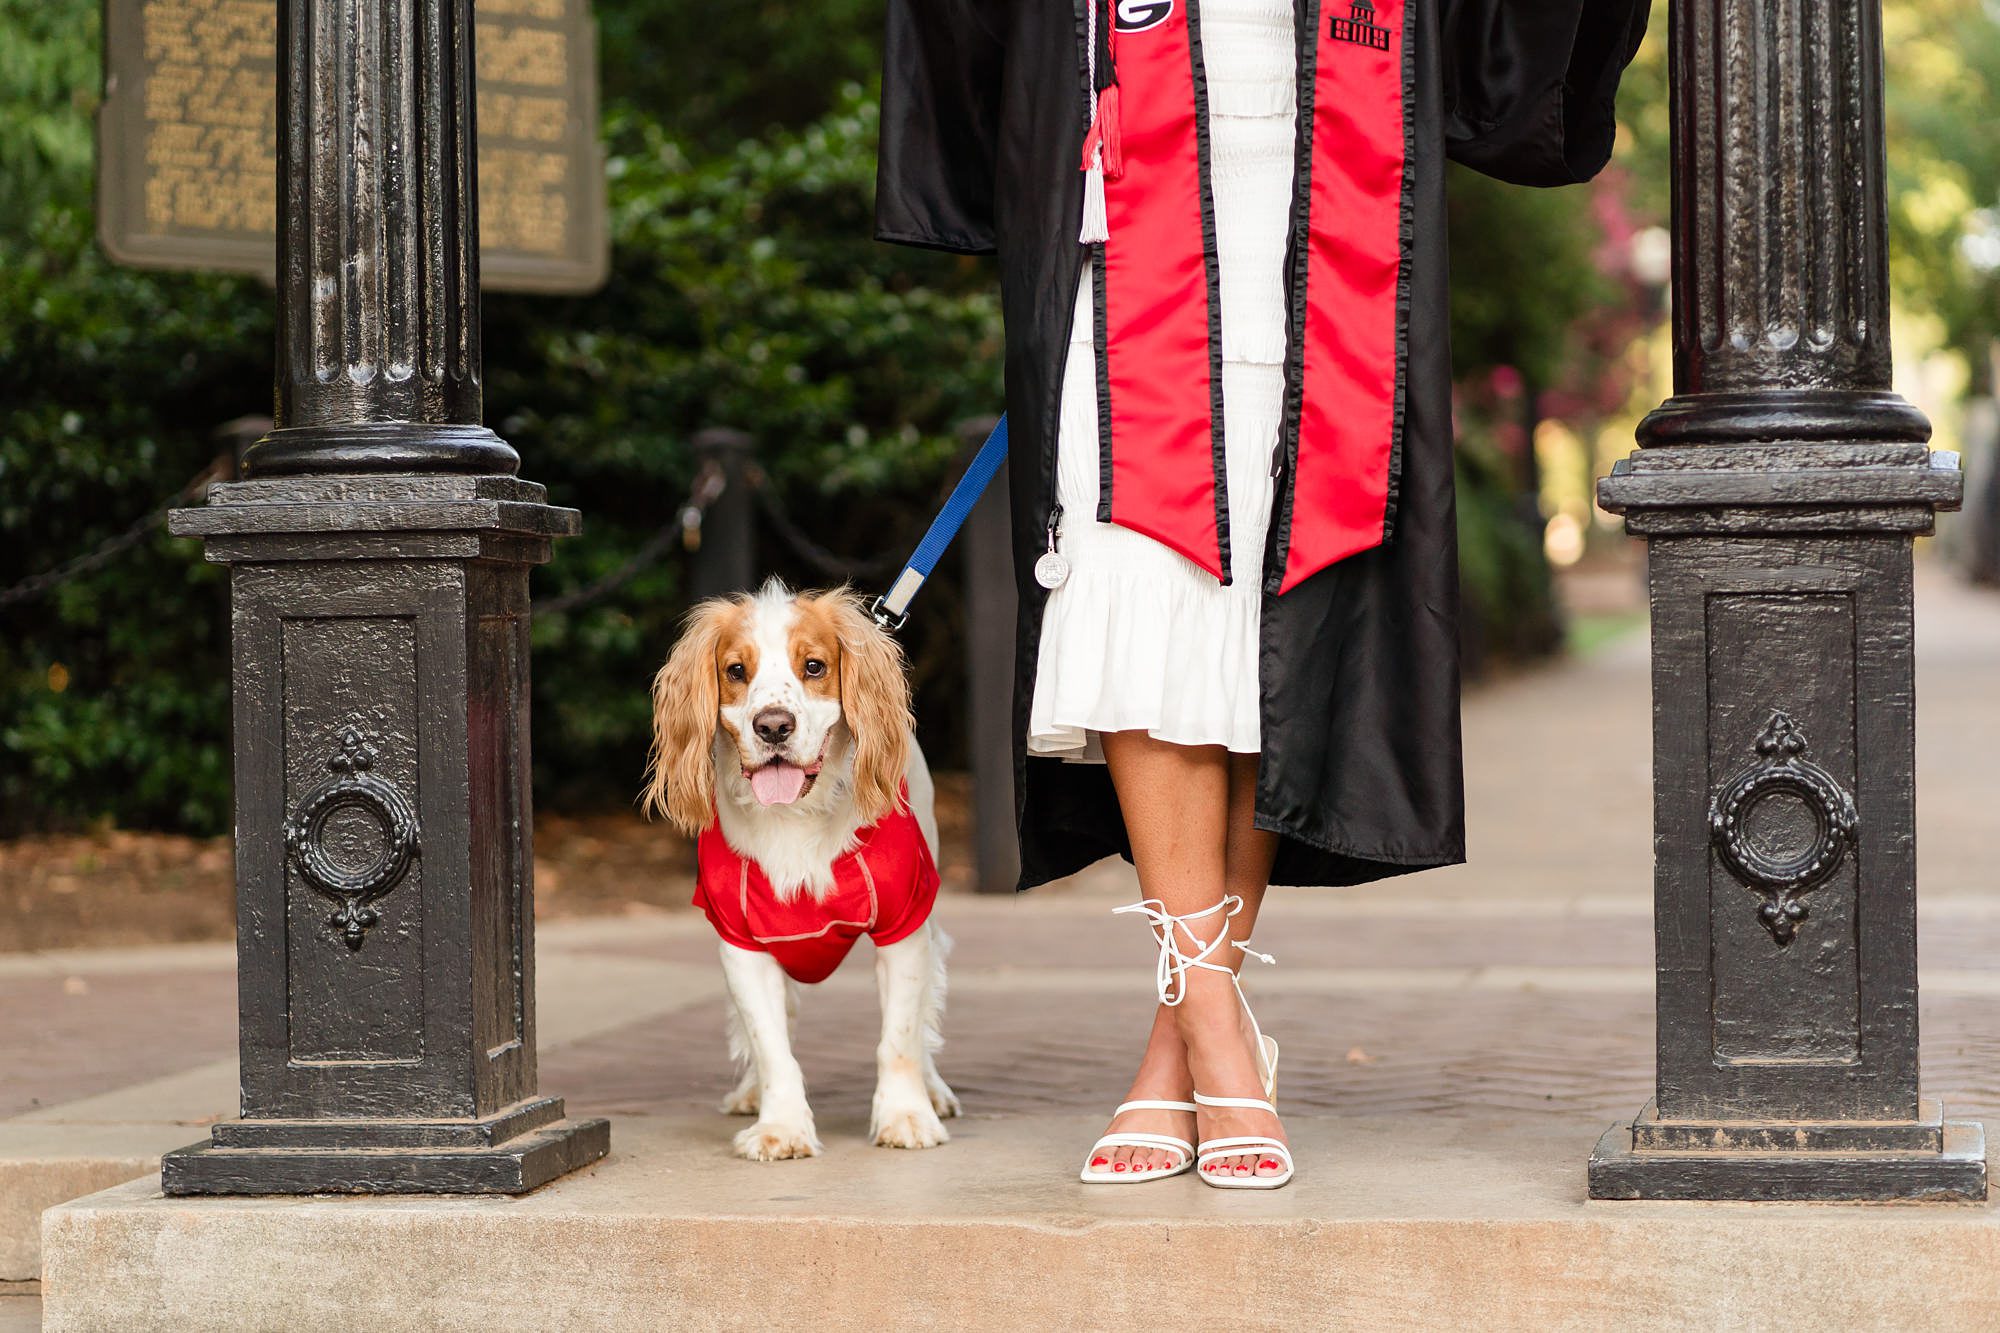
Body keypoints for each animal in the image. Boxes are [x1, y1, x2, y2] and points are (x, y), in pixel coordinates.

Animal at [636, 576, 956, 1160]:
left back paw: (934, 1091)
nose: (773, 727)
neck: (797, 815)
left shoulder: (905, 927)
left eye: (813, 666)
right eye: (735, 671)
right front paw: (781, 1125)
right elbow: (770, 1045)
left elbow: (899, 1037)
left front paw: (906, 1116)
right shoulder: (742, 942)